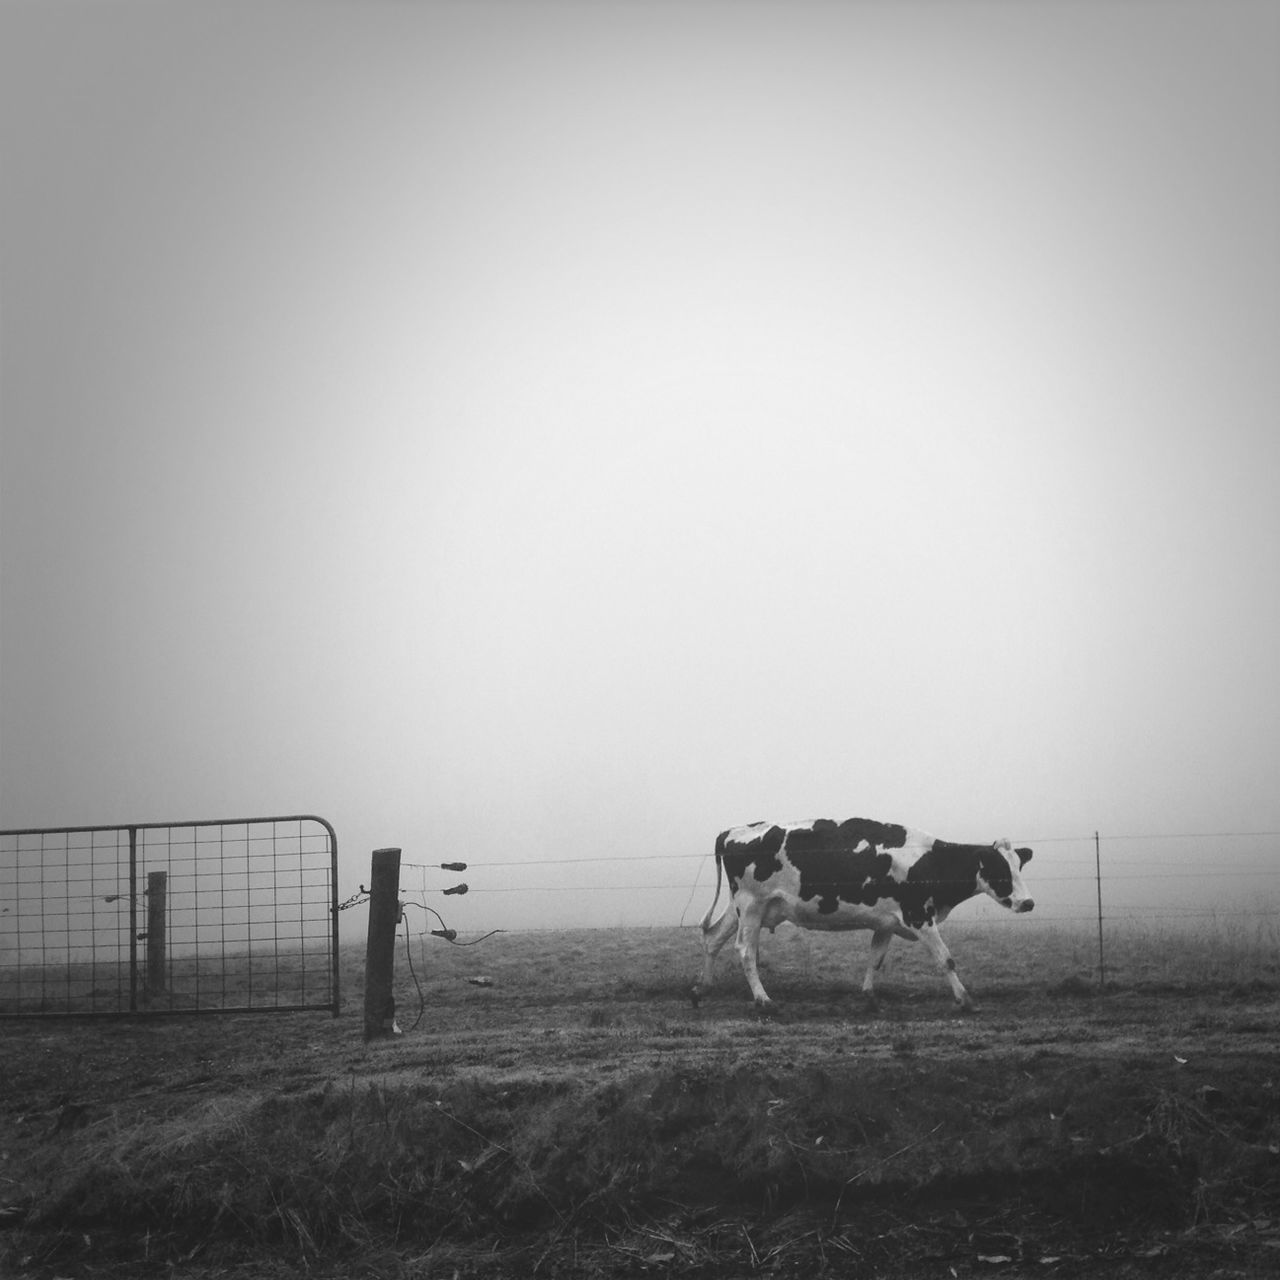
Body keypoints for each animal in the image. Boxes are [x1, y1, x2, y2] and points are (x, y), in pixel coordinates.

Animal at [696, 814, 1034, 1013]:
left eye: (1019, 866)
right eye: (1000, 870)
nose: (1028, 903)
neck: (929, 860)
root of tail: (732, 830)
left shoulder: (886, 922)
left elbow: (875, 959)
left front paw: (869, 995)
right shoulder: (918, 916)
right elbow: (946, 959)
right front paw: (965, 999)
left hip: (742, 907)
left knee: (713, 938)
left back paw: (705, 987)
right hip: (751, 904)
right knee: (745, 950)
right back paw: (762, 998)